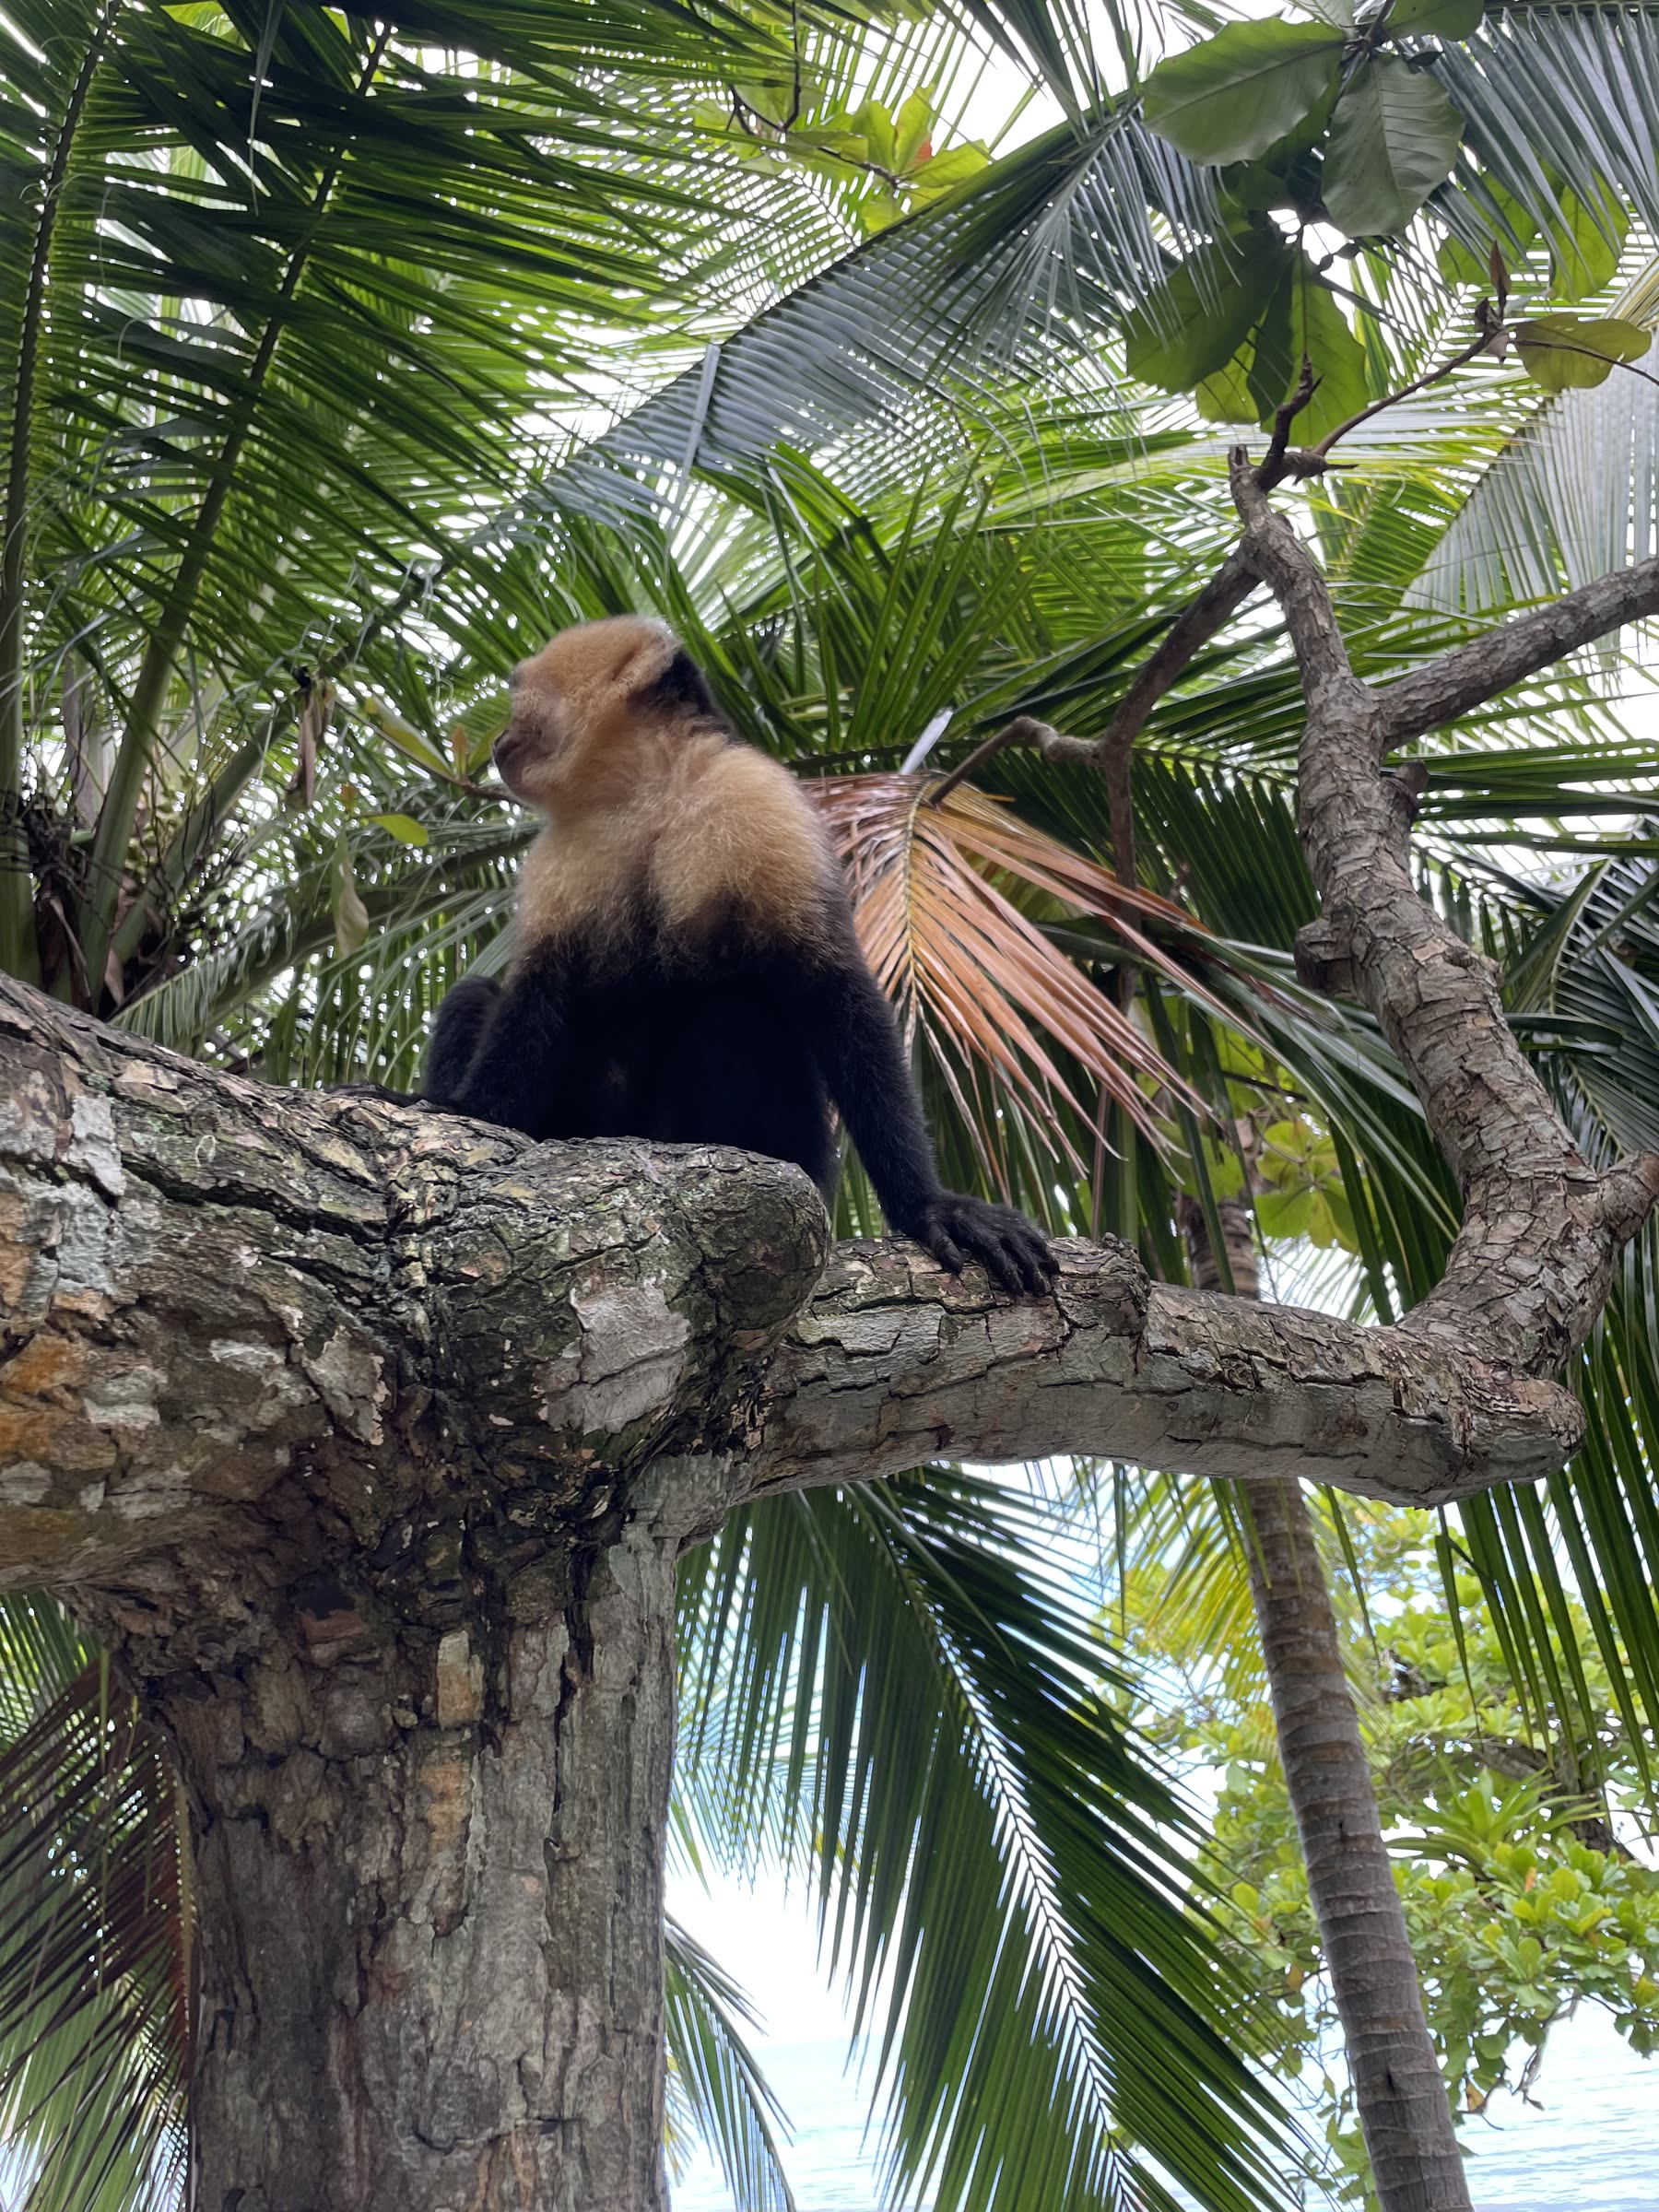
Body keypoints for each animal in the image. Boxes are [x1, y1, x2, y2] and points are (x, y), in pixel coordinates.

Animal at [416, 615, 1057, 1297]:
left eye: (518, 701)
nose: (499, 738)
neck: (643, 791)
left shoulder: (753, 795)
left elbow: (832, 984)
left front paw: (927, 1206)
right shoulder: (566, 849)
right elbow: (540, 989)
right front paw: (466, 1112)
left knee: (737, 1005)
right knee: (478, 996)